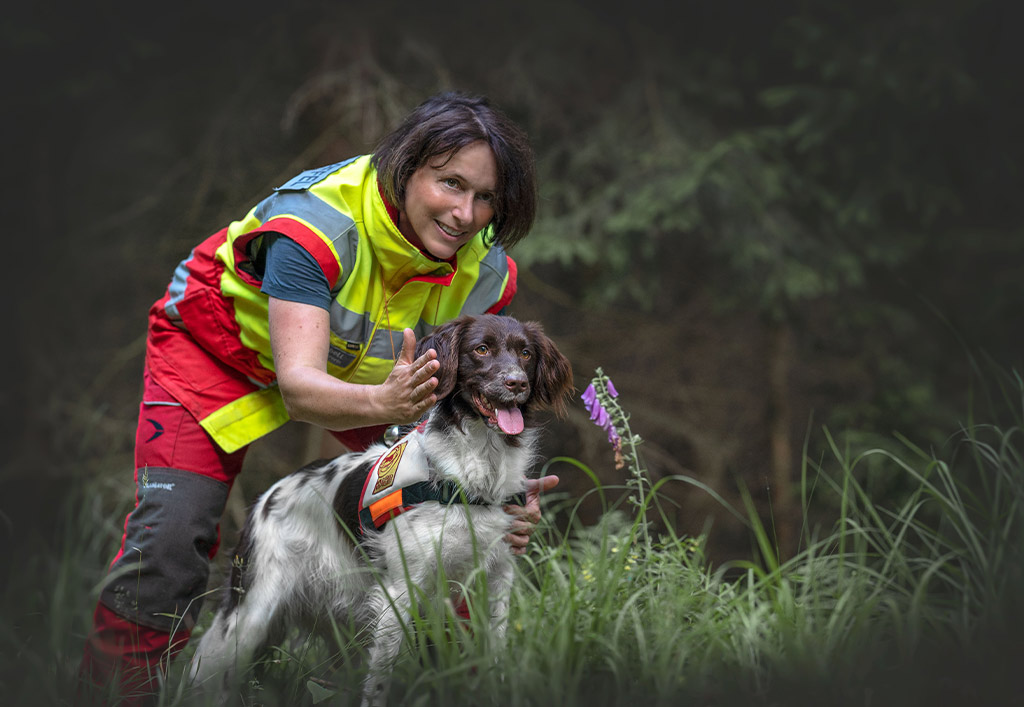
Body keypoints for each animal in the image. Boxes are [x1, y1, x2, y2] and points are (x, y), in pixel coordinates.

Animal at [188, 315, 573, 704]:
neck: (476, 474)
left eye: (525, 353)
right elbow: (379, 681)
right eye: (481, 349)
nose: (517, 383)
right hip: (249, 616)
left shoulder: (496, 579)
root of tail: (266, 497)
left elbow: (494, 654)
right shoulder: (401, 590)